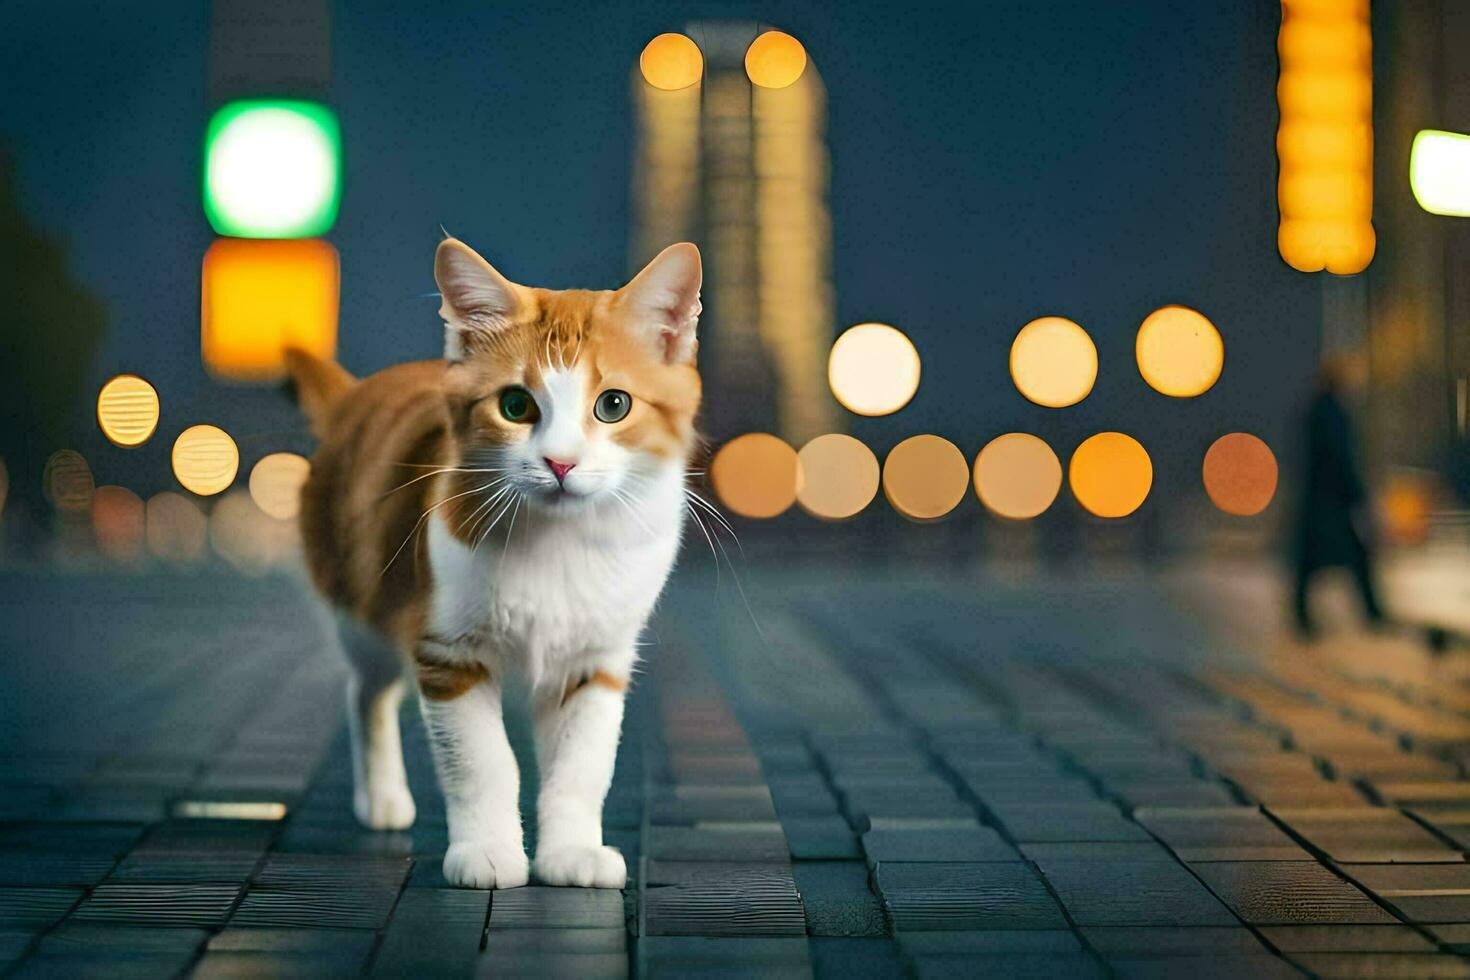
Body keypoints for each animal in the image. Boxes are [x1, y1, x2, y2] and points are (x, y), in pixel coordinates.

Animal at [288, 238, 705, 887]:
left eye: (613, 405)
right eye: (515, 405)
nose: (560, 462)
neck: (559, 541)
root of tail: (357, 397)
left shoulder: (596, 660)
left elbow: (581, 768)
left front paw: (571, 851)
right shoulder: (447, 652)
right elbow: (482, 763)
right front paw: (486, 851)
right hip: (363, 604)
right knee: (367, 688)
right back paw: (382, 797)